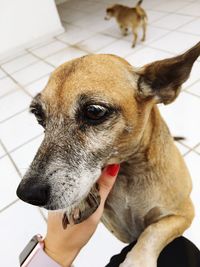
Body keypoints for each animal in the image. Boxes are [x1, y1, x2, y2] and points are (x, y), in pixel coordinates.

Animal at [17, 40, 200, 266]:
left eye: (94, 111)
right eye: (38, 115)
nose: (26, 193)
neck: (128, 174)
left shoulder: (183, 214)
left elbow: (152, 232)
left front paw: (136, 261)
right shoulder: (119, 231)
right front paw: (84, 198)